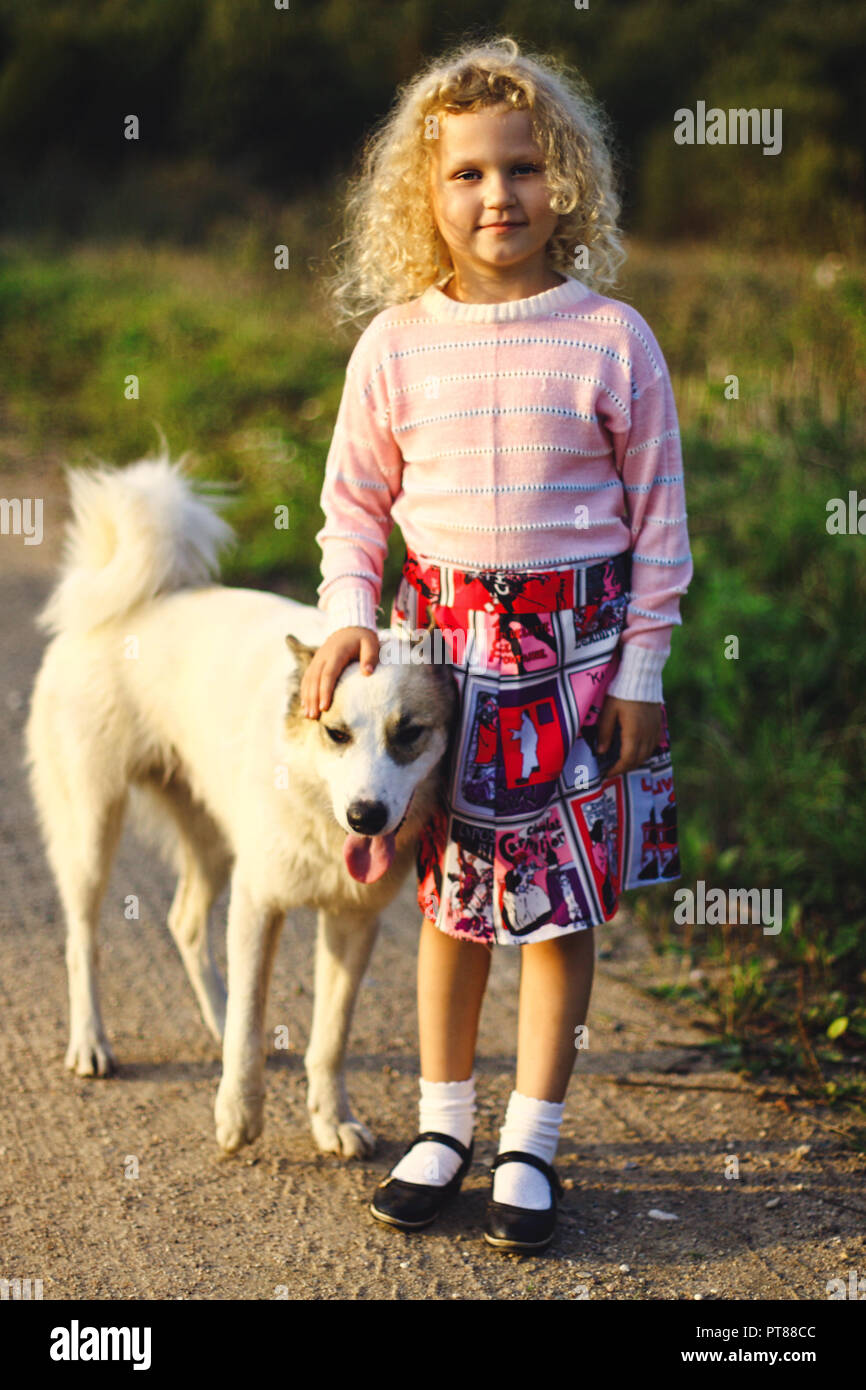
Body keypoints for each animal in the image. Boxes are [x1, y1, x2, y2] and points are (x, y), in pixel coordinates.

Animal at [23, 453, 458, 1150]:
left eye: (410, 733)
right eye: (337, 734)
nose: (364, 817)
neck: (318, 806)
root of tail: (134, 598)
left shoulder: (351, 922)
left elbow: (329, 1039)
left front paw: (332, 1120)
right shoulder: (260, 903)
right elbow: (254, 1023)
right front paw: (238, 1112)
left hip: (212, 838)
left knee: (184, 921)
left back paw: (212, 1016)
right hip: (93, 829)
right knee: (82, 938)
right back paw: (90, 1044)